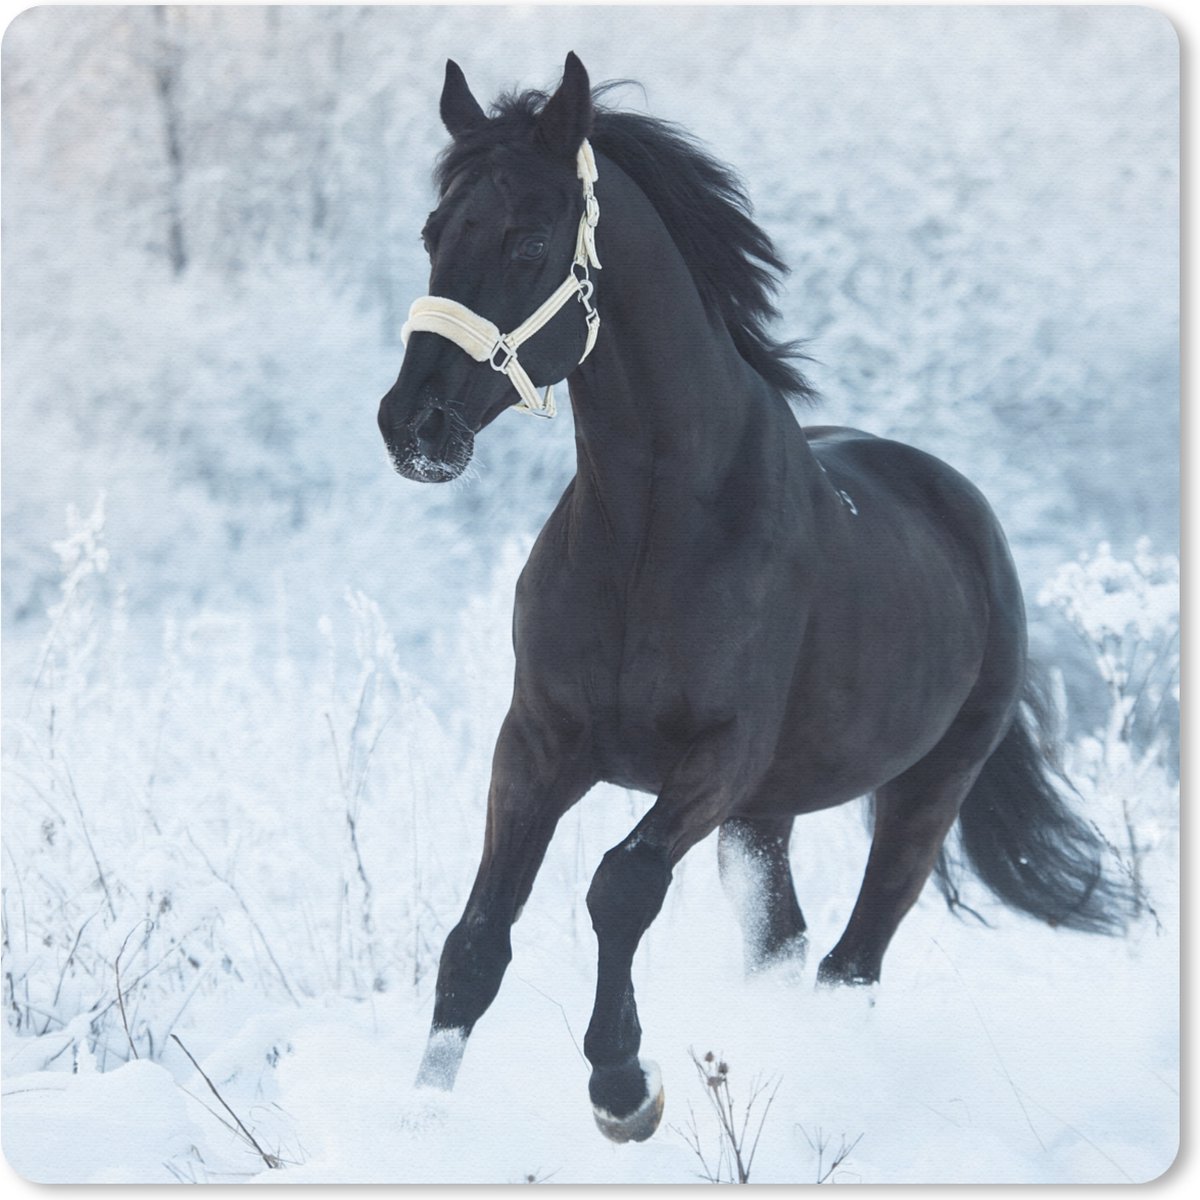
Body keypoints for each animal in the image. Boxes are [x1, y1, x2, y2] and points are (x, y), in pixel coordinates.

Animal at [376, 53, 1131, 1143]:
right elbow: (477, 937)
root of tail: (964, 512)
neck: (654, 532)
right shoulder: (539, 745)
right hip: (766, 820)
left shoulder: (718, 757)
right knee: (791, 946)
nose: (413, 426)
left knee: (850, 963)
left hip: (923, 792)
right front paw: (419, 1120)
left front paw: (624, 1088)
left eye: (527, 240)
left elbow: (621, 886)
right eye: (436, 234)